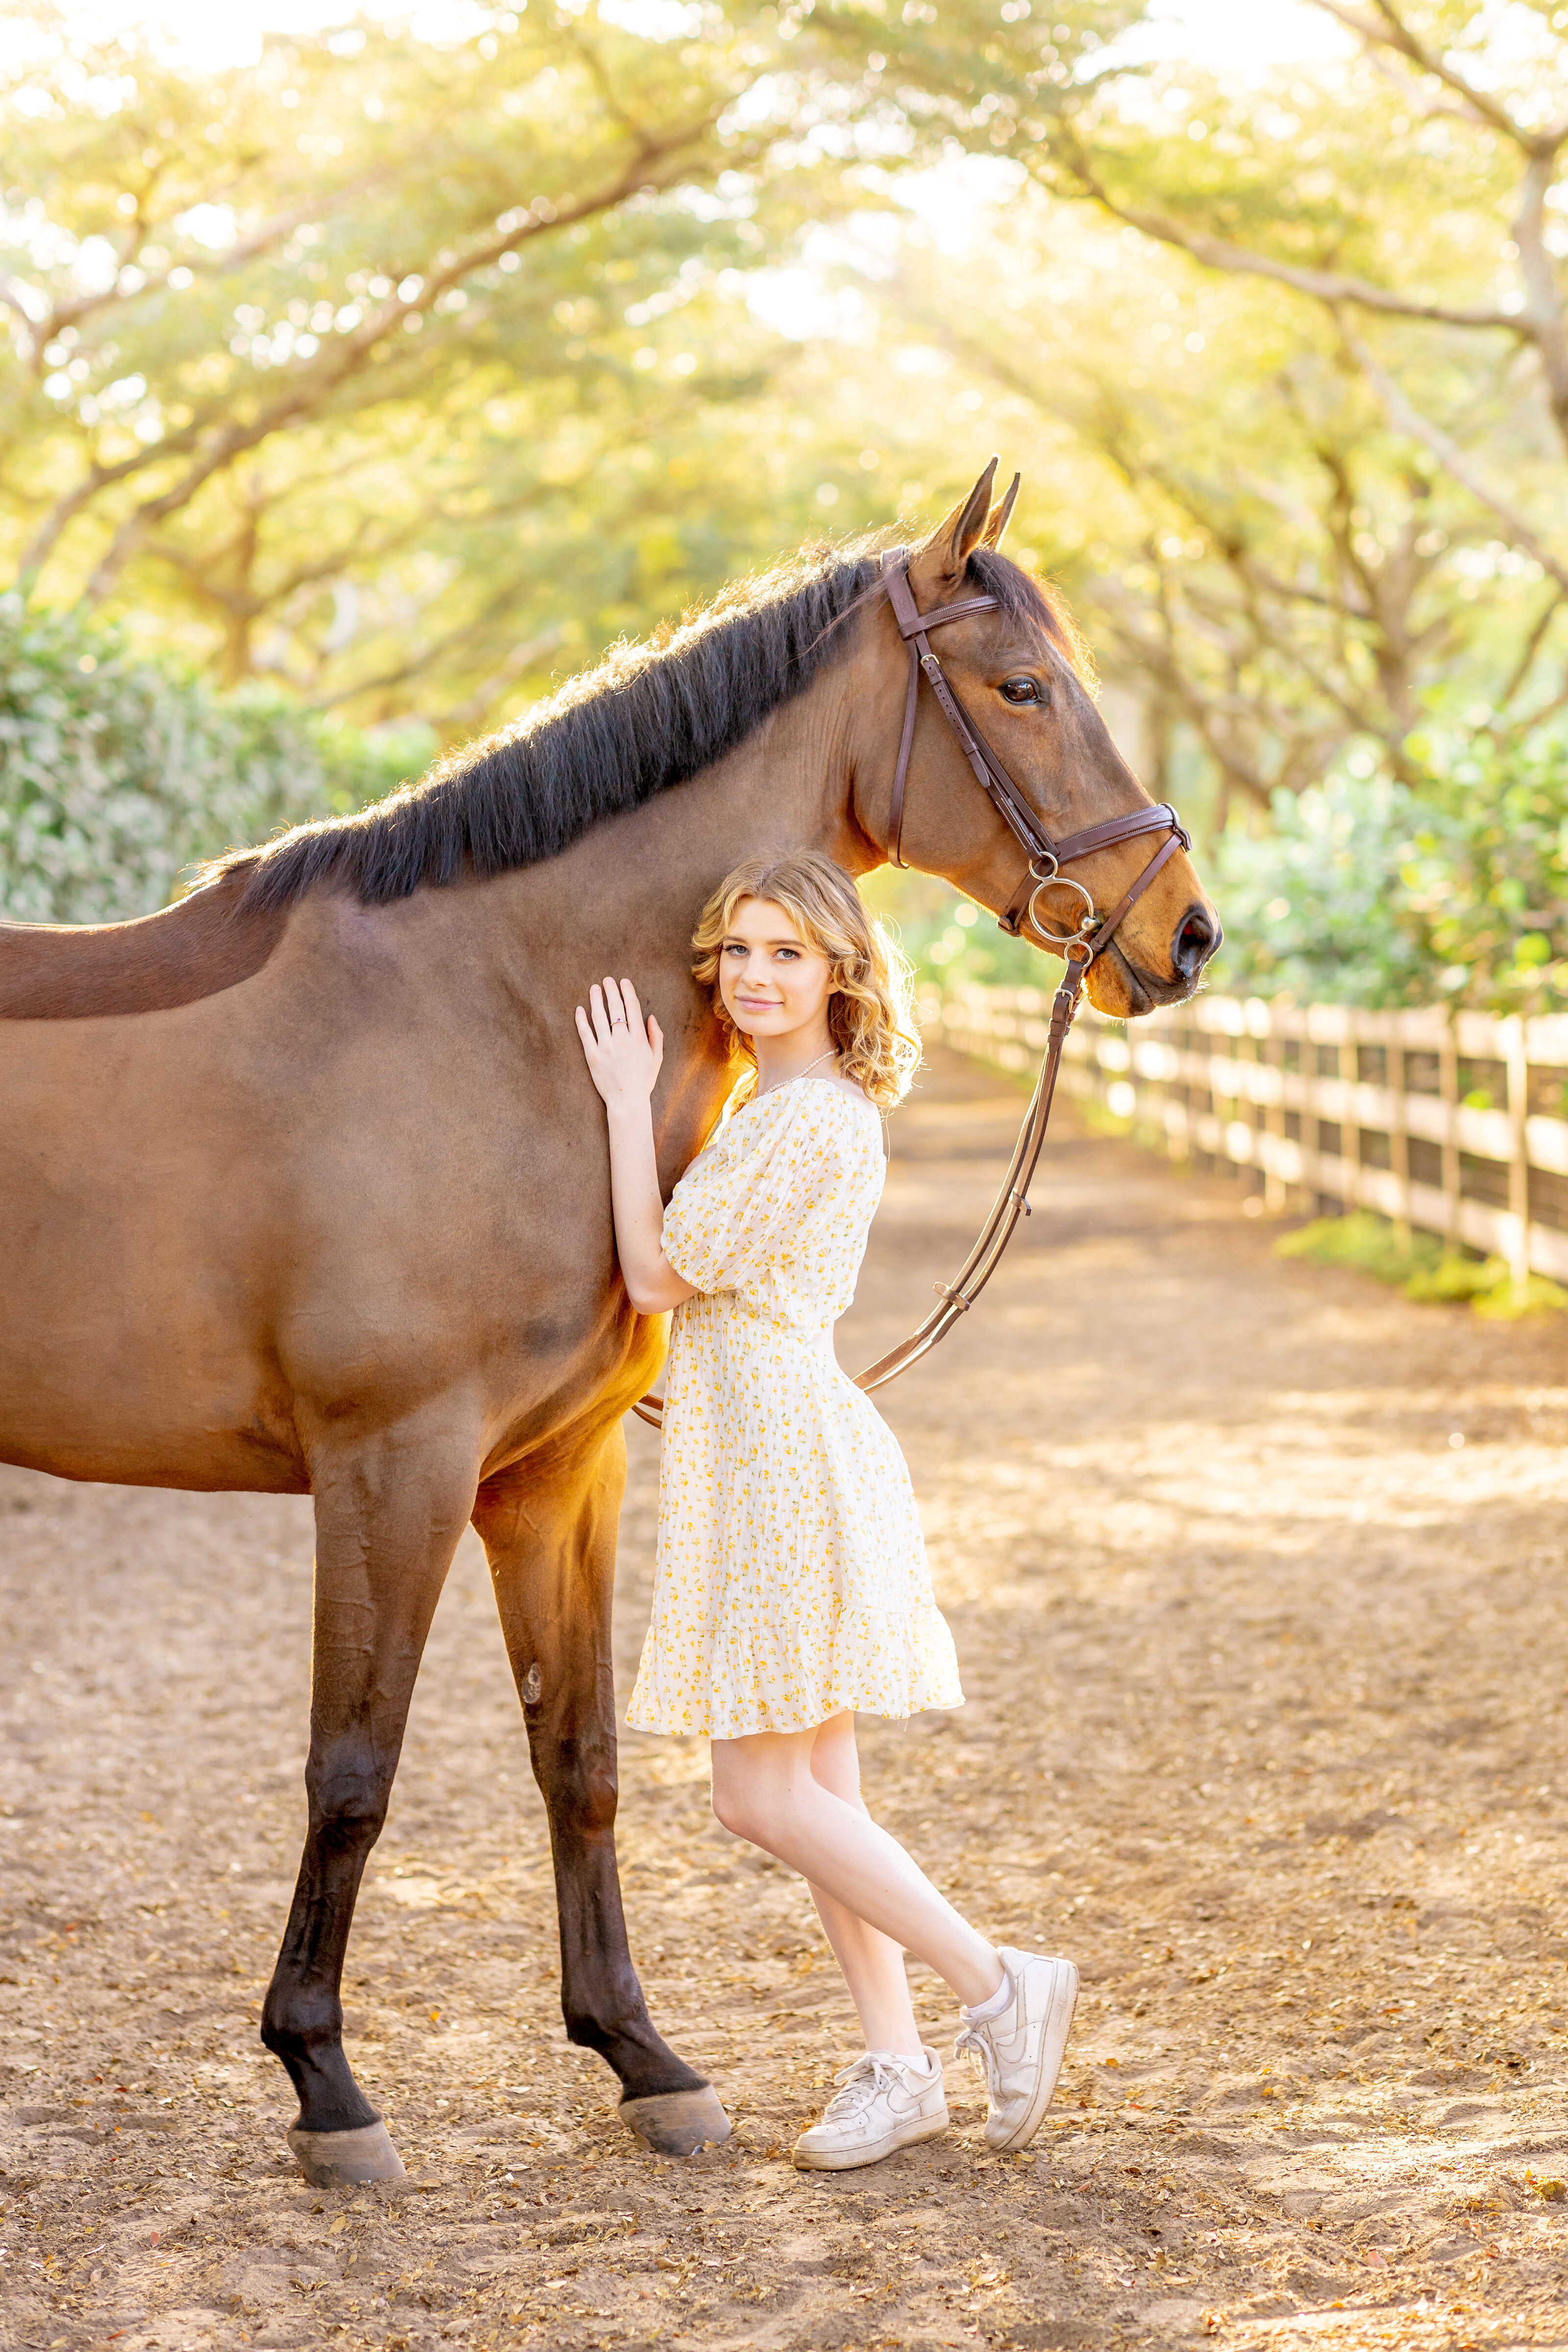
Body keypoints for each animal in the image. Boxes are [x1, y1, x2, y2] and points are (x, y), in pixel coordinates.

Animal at [0, 463, 1219, 2185]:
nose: (1184, 933)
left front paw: (642, 2058)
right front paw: (325, 2083)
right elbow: (352, 1769)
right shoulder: (394, 1467)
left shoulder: (554, 1474)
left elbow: (576, 1761)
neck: (495, 1010)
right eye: (1023, 688)